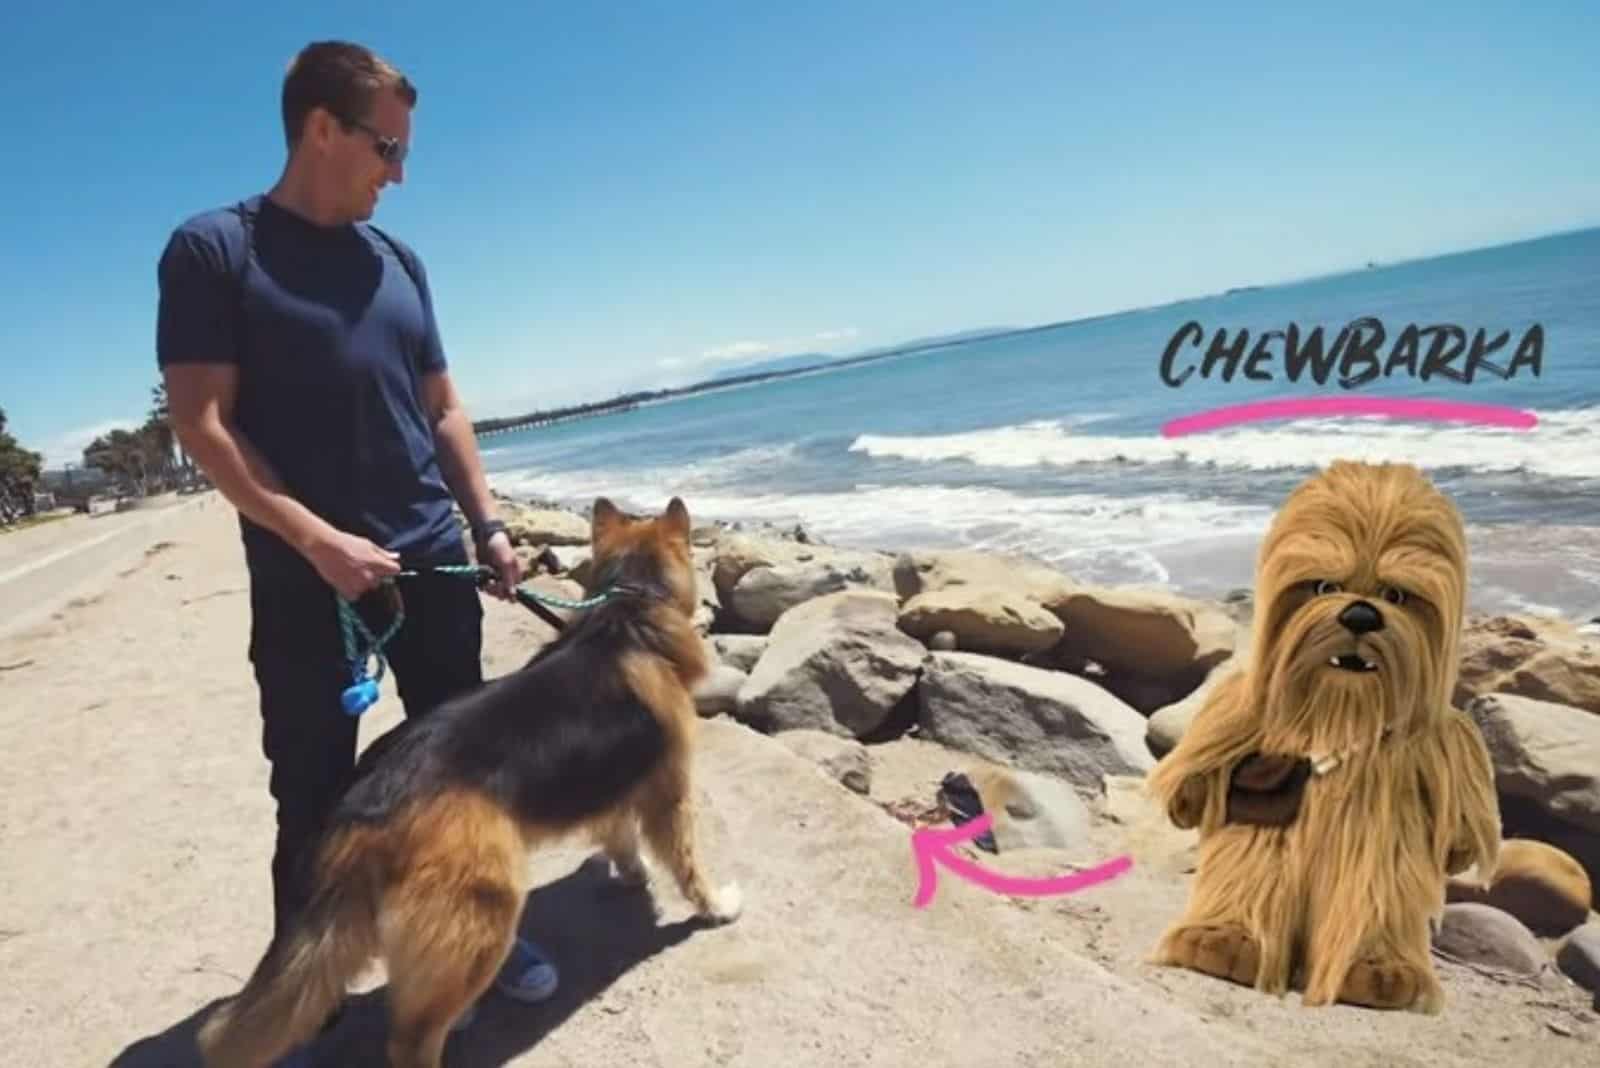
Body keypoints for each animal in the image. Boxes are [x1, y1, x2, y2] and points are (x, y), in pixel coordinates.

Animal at [198, 498, 742, 1068]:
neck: (629, 612)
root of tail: (366, 800)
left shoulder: (616, 784)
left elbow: (619, 835)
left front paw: (630, 872)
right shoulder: (669, 794)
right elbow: (687, 865)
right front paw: (715, 906)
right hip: (488, 907)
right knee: (411, 1039)